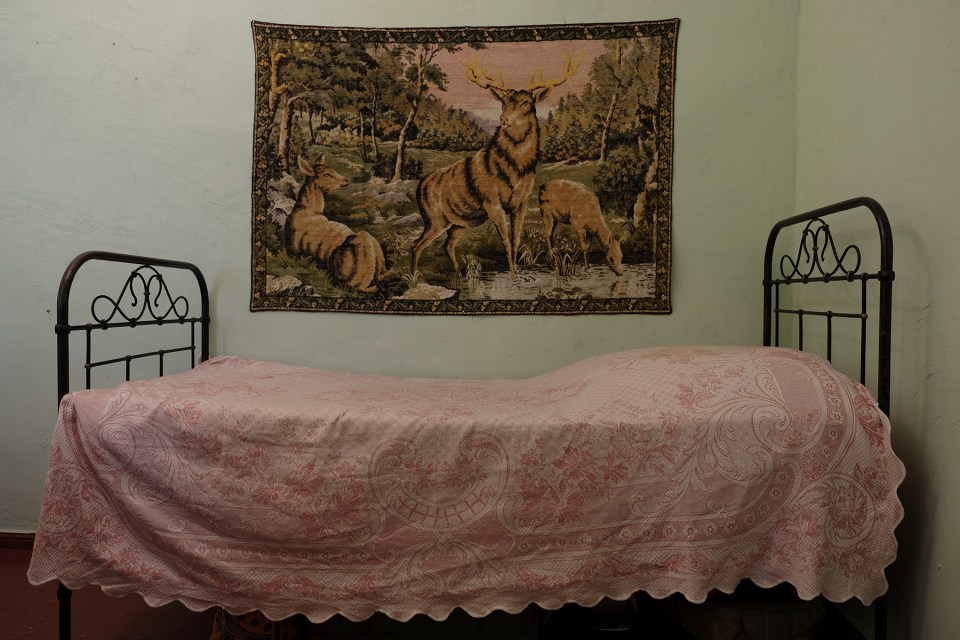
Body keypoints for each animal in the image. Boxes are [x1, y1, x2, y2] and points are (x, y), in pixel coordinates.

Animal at [410, 54, 582, 282]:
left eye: (526, 103)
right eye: (504, 102)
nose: (504, 119)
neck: (515, 171)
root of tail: (419, 187)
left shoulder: (522, 202)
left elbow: (516, 240)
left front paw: (517, 275)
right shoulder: (491, 201)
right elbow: (506, 242)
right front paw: (513, 278)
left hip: (460, 223)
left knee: (447, 244)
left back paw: (459, 275)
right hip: (434, 219)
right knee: (416, 245)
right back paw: (413, 278)